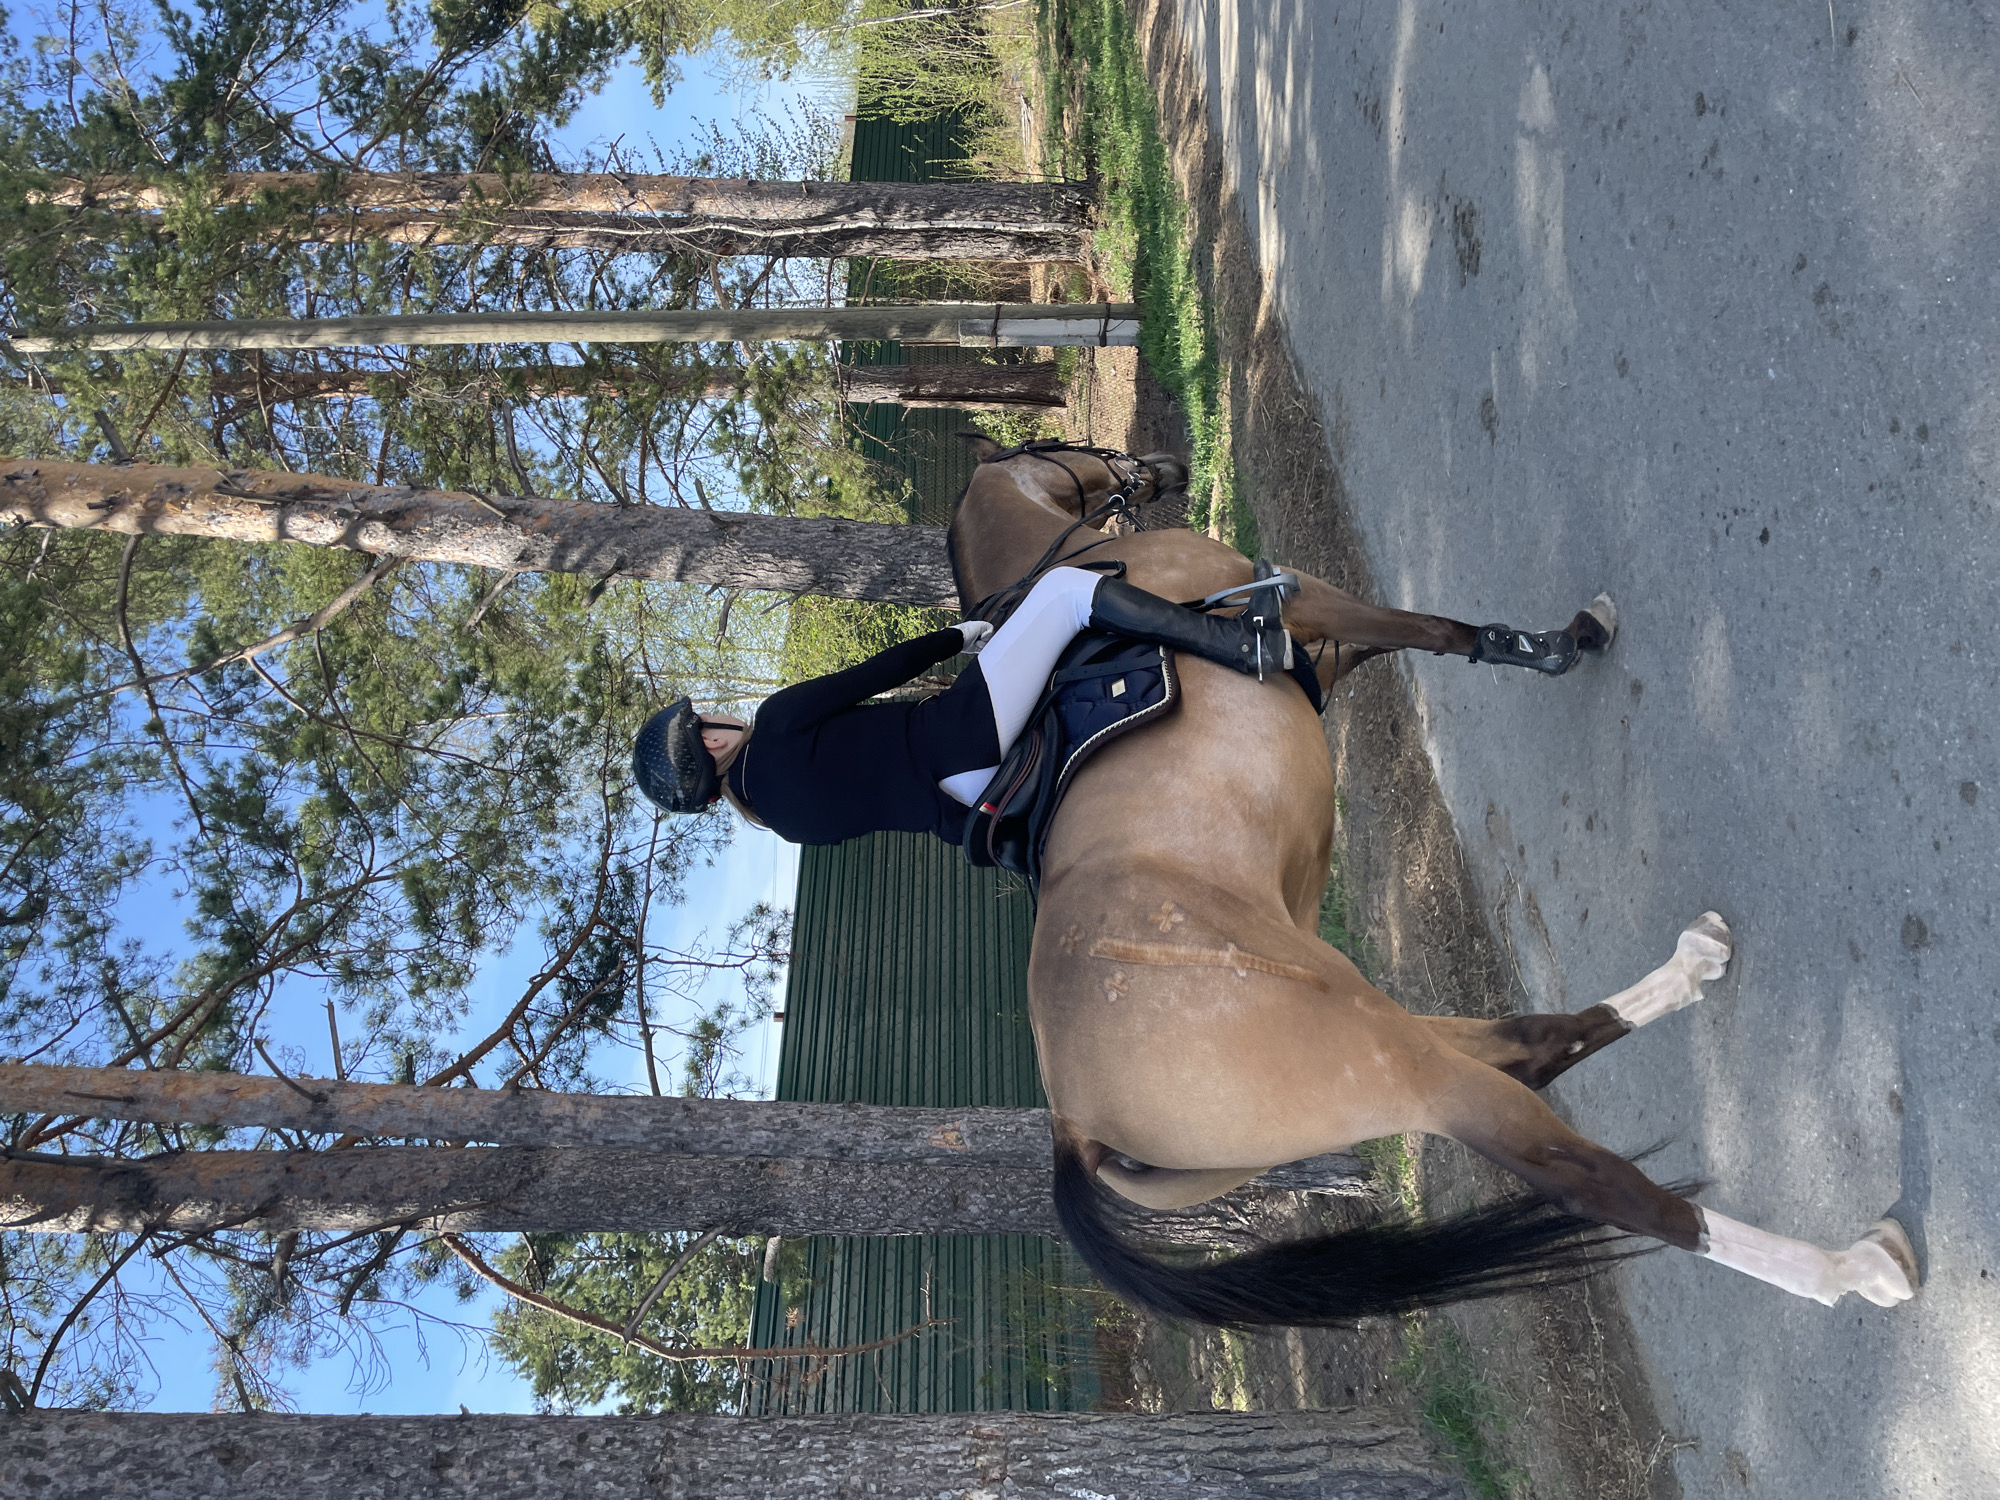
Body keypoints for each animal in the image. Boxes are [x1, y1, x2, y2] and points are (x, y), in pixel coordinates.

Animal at [947, 436, 1919, 1325]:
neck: (1072, 576)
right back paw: (1852, 1268)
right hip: (1401, 1067)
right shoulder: (1307, 599)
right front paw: (1567, 641)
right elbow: (1432, 629)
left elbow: (1410, 640)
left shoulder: (1318, 643)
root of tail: (1076, 1123)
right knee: (1588, 1178)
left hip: (1380, 1034)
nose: (1161, 468)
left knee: (1537, 1043)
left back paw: (1694, 965)